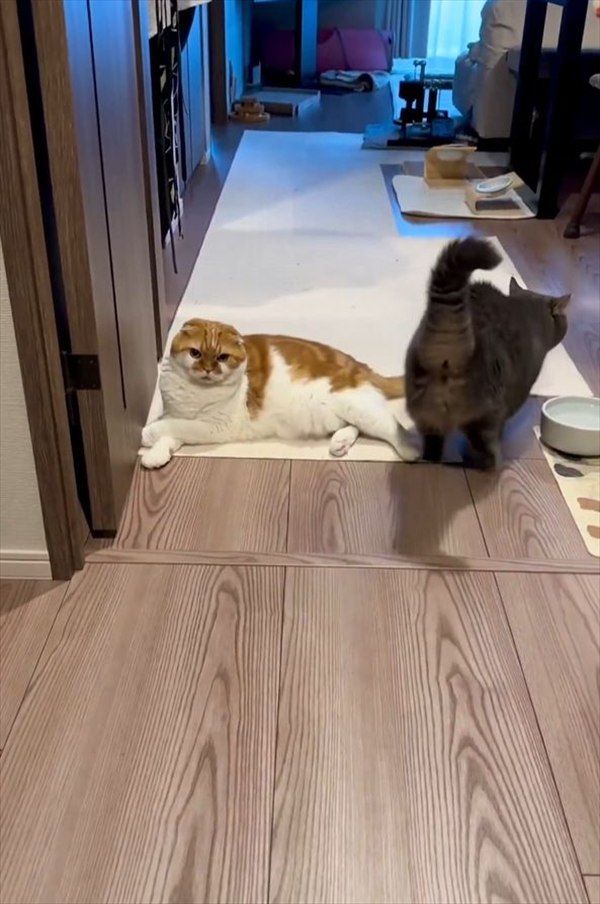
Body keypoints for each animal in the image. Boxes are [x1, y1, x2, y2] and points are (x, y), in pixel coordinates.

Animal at [141, 318, 419, 468]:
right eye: (195, 353)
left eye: (222, 357)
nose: (208, 370)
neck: (194, 391)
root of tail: (360, 365)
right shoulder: (177, 413)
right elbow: (173, 432)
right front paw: (156, 454)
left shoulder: (217, 426)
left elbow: (177, 427)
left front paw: (148, 434)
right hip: (340, 413)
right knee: (353, 426)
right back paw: (340, 442)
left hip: (356, 406)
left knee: (391, 424)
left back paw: (411, 451)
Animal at [405, 236, 570, 469]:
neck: (528, 310)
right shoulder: (518, 391)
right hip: (485, 415)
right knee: (488, 452)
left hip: (423, 410)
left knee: (432, 449)